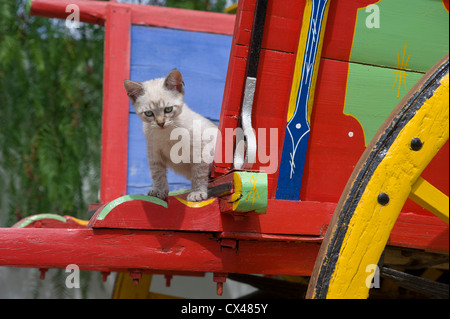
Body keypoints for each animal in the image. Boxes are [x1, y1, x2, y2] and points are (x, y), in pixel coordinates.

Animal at [124, 69, 217, 202]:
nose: (160, 123)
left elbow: (198, 174)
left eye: (168, 109)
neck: (167, 133)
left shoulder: (199, 149)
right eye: (149, 113)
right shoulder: (154, 152)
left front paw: (197, 192)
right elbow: (157, 174)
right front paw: (159, 191)